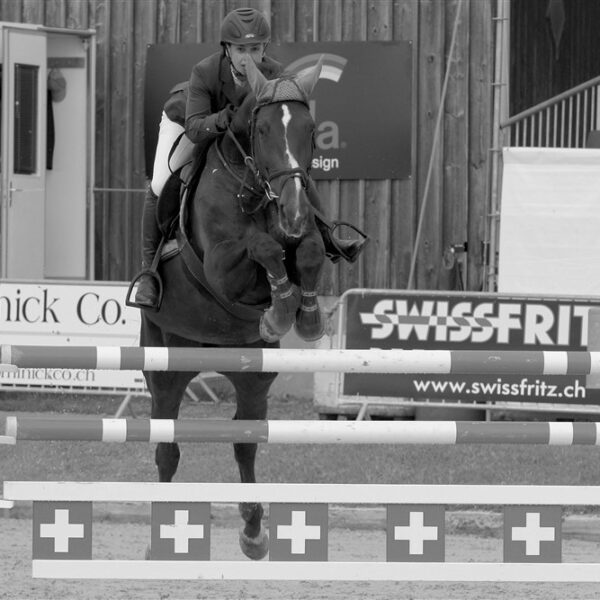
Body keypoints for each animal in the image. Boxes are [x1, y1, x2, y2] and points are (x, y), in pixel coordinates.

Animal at [140, 58, 326, 560]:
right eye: (261, 129)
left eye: (310, 129)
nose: (294, 211)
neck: (255, 188)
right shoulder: (221, 266)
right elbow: (263, 247)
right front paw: (280, 309)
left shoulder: (303, 238)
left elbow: (308, 252)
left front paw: (303, 315)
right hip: (165, 365)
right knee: (166, 448)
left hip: (254, 376)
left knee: (245, 443)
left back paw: (254, 531)